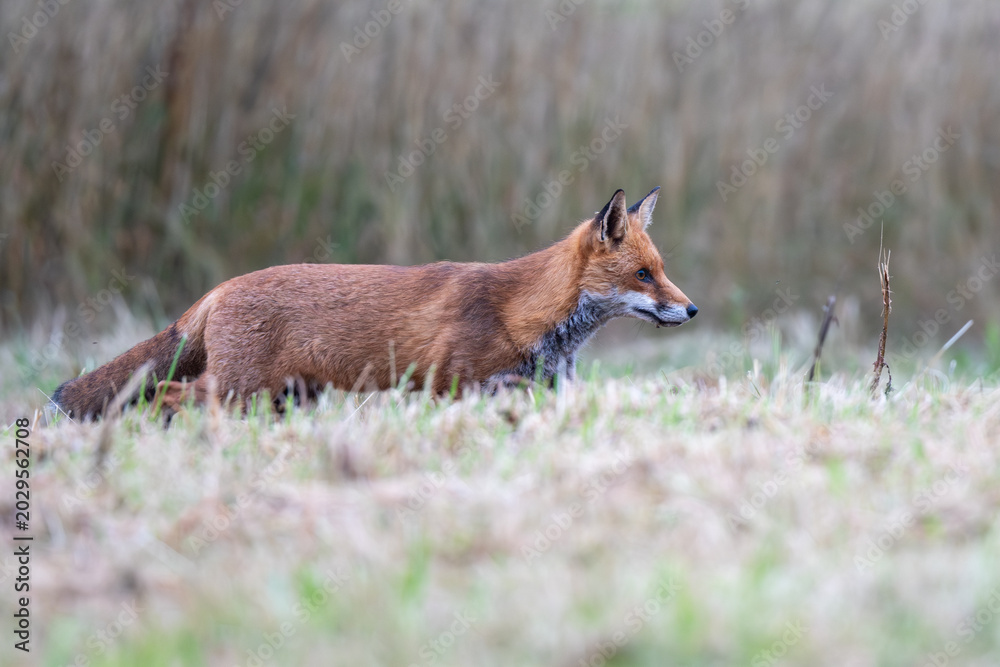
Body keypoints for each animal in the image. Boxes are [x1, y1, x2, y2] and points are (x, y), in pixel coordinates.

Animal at [52, 187, 697, 419]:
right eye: (643, 275)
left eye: (663, 272)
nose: (692, 311)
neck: (526, 312)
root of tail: (221, 287)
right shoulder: (449, 386)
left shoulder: (544, 389)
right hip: (241, 389)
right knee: (165, 393)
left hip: (287, 396)